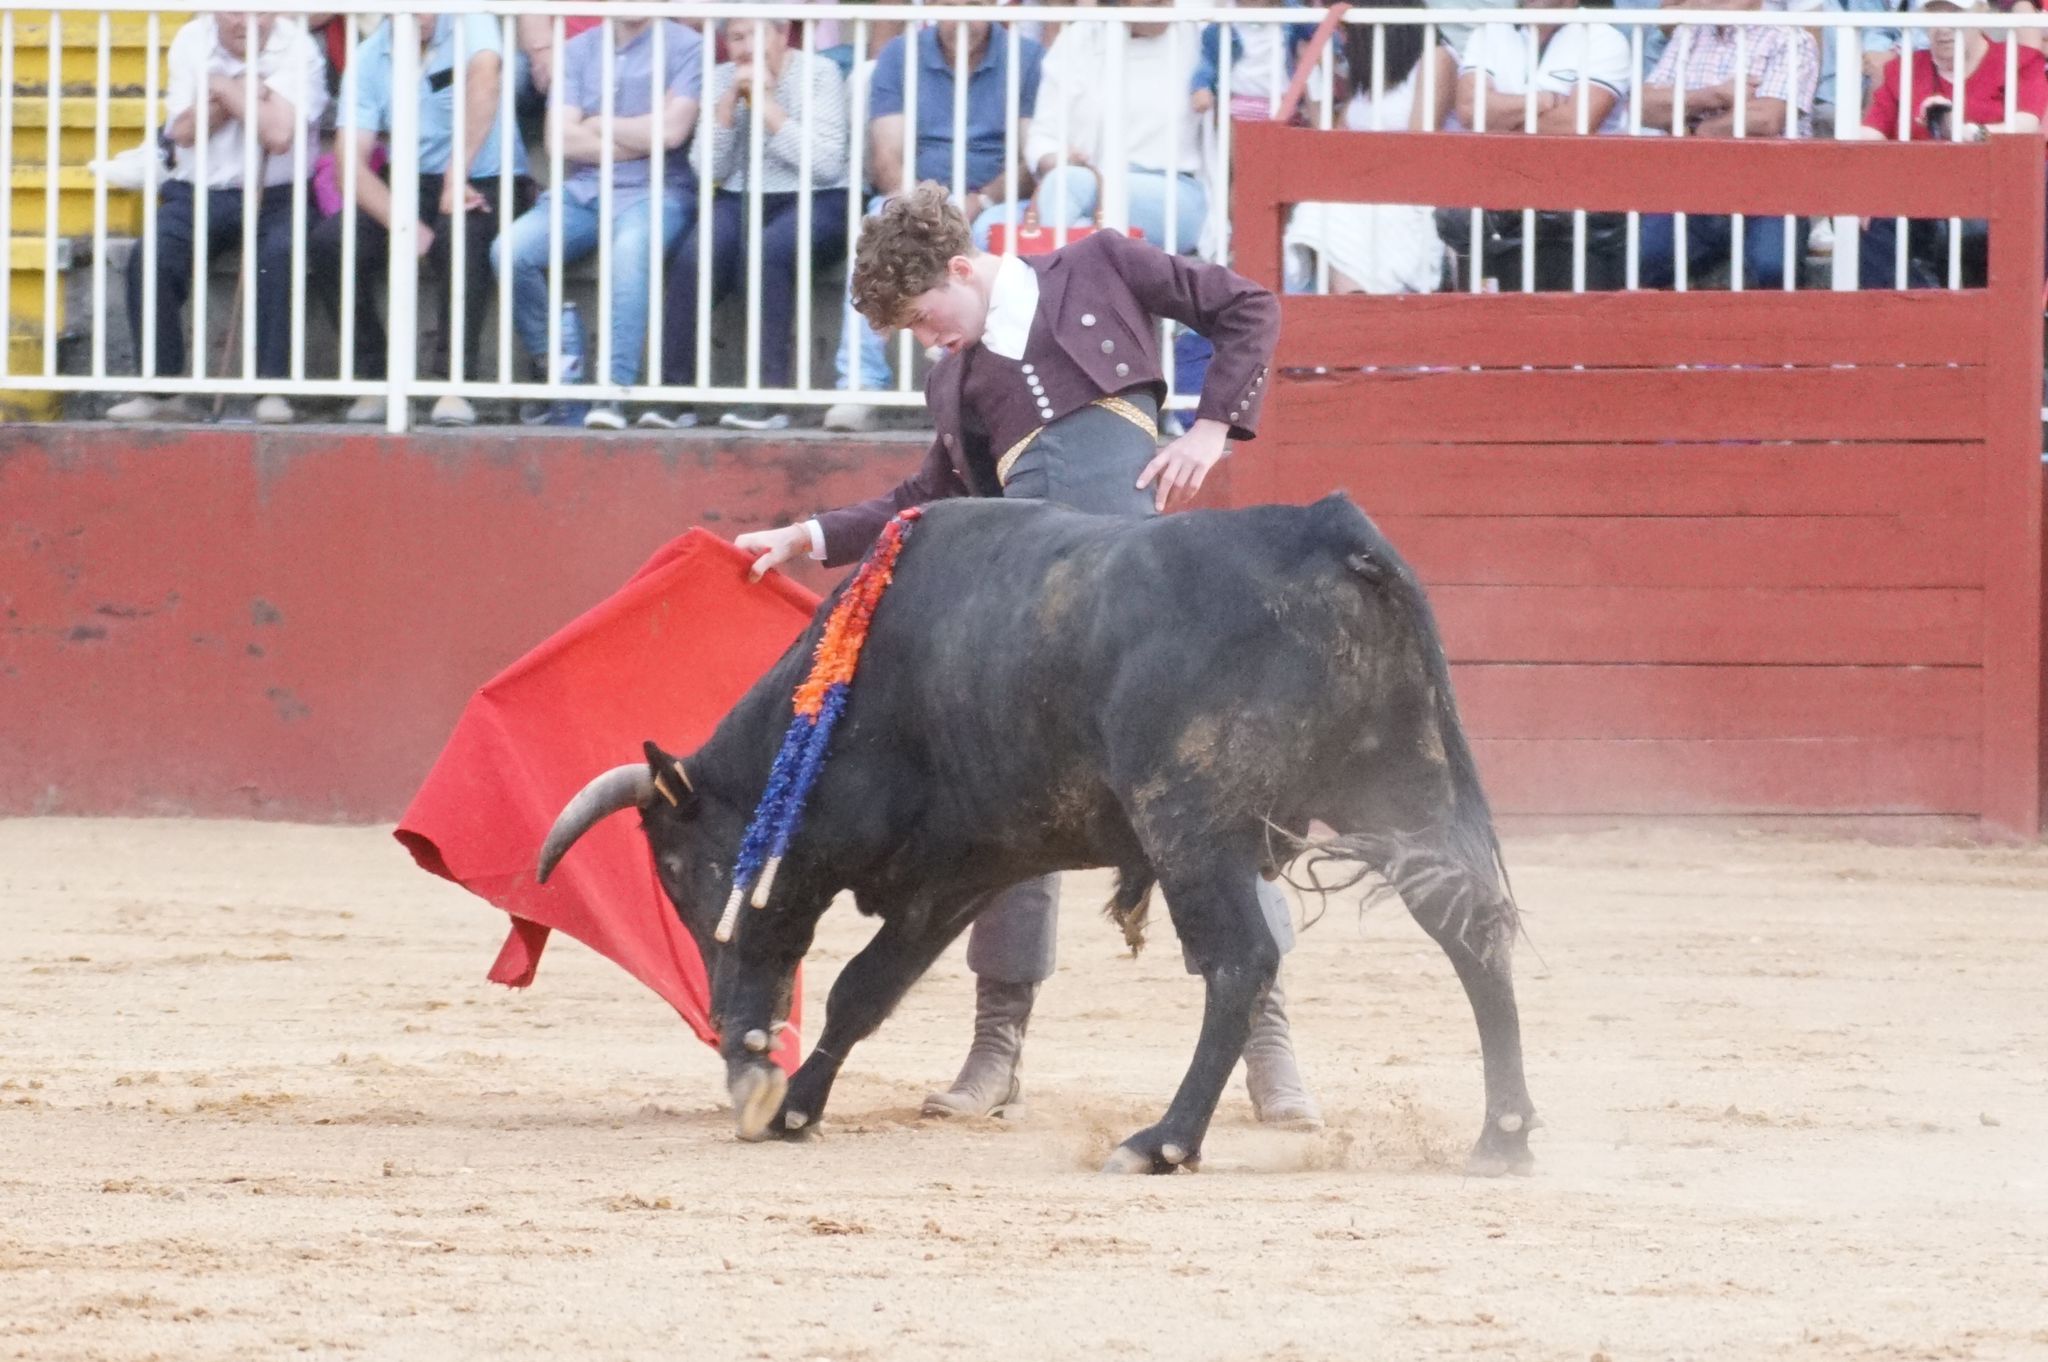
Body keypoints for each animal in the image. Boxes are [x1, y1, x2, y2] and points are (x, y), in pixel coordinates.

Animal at [544, 493, 1540, 1171]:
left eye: (678, 868)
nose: (736, 1042)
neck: (850, 696)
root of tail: (1328, 532)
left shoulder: (948, 870)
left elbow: (859, 982)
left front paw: (787, 1105)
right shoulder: (972, 867)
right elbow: (868, 990)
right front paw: (796, 1107)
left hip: (1192, 827)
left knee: (1241, 964)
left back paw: (1164, 1141)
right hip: (1399, 793)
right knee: (1470, 936)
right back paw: (1504, 1136)